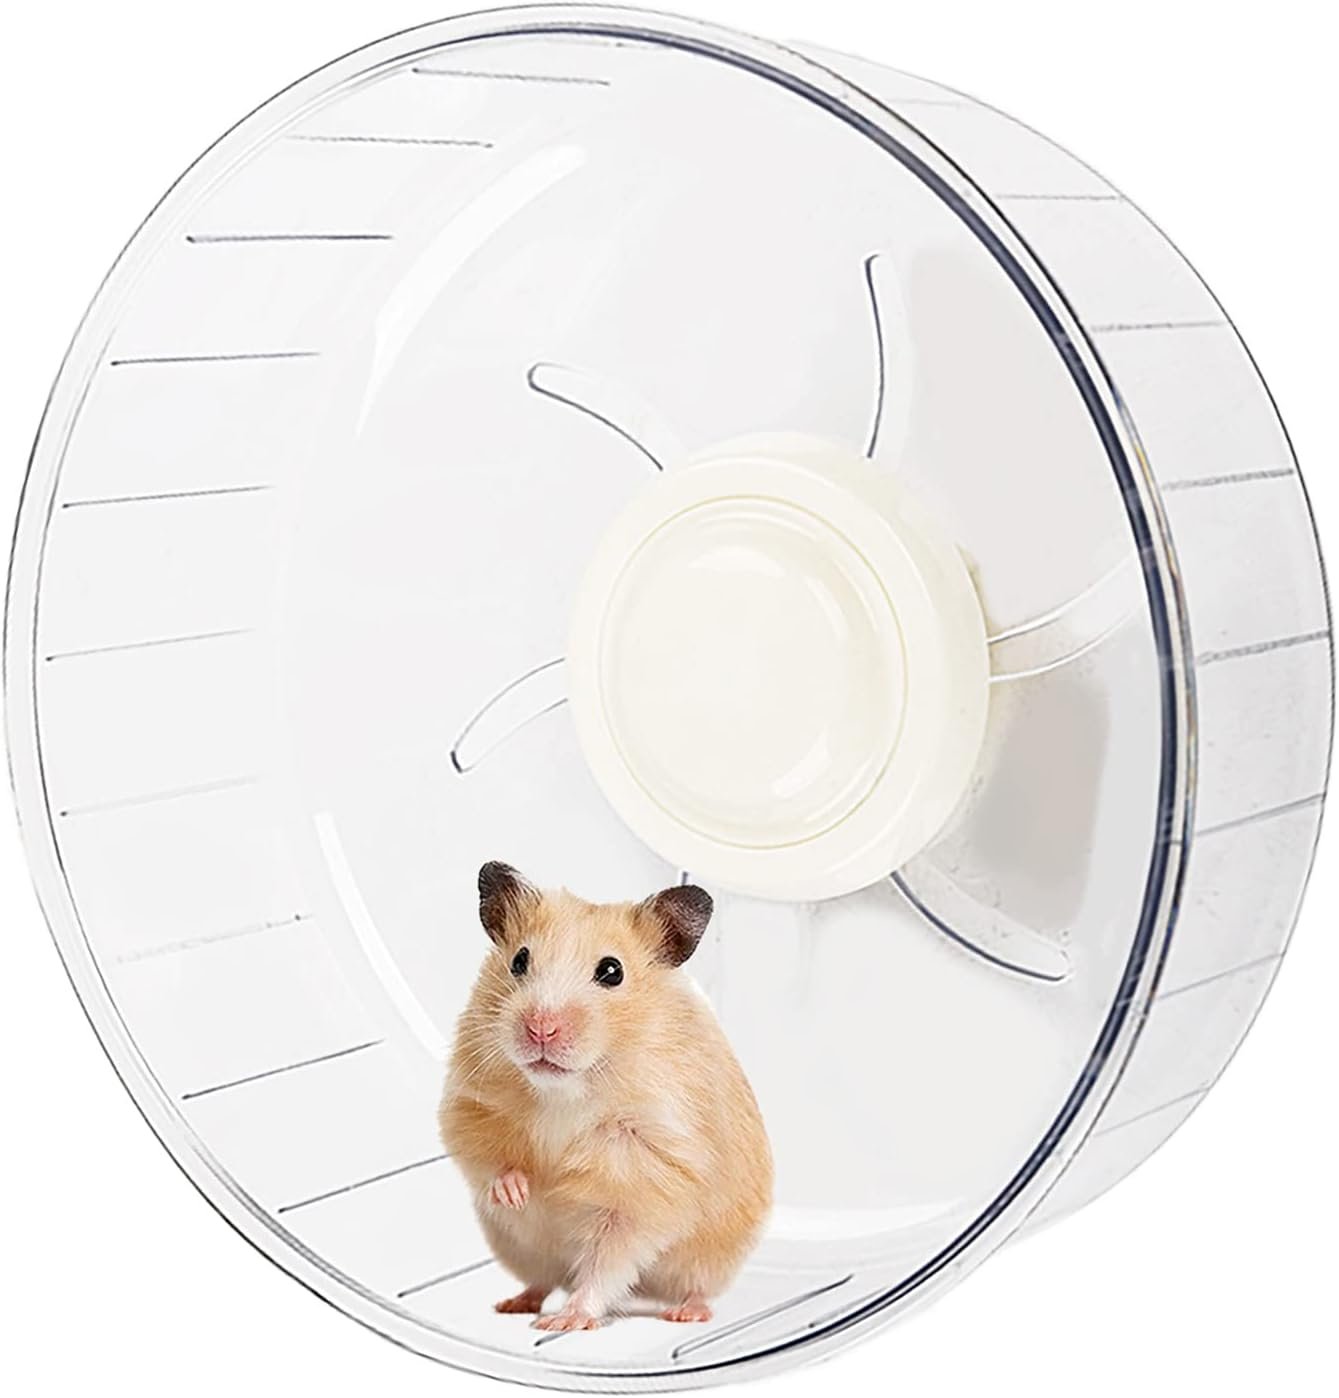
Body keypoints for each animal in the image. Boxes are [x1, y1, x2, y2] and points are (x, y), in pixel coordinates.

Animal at [438, 862, 773, 1331]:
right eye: (519, 960)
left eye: (612, 971)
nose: (541, 1028)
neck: (565, 1091)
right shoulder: (469, 1102)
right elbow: (485, 1156)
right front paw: (518, 1192)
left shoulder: (647, 1178)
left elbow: (607, 1261)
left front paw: (565, 1322)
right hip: (520, 1248)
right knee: (543, 1280)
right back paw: (513, 1304)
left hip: (713, 1257)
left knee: (694, 1286)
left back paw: (685, 1314)